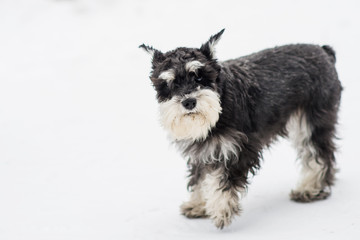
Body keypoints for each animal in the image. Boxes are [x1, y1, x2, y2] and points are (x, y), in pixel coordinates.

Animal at [139, 30, 342, 229]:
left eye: (199, 76)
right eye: (170, 83)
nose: (189, 102)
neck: (222, 100)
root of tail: (324, 51)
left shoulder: (239, 149)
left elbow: (224, 180)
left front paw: (221, 209)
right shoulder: (203, 151)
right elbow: (201, 177)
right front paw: (198, 204)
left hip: (311, 122)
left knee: (320, 154)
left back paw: (311, 188)